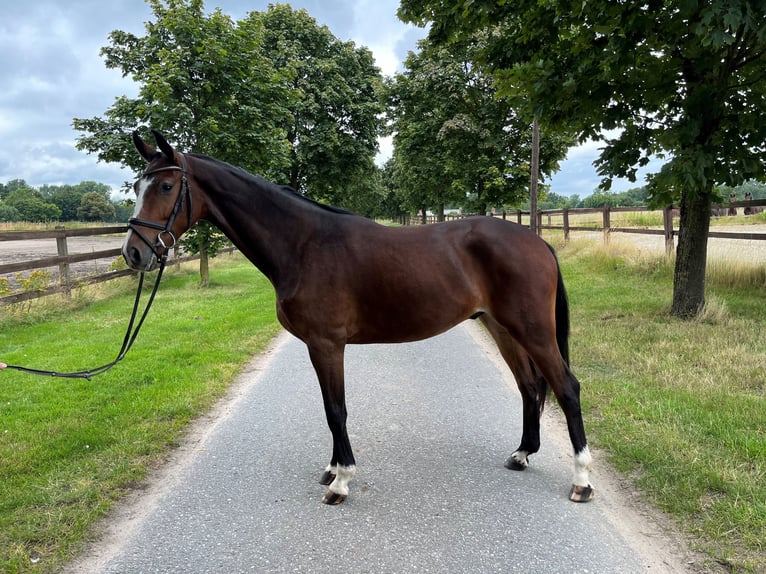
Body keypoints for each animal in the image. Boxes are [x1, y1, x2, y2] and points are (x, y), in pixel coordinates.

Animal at [123, 129, 596, 504]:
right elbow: (330, 408)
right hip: (501, 327)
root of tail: (536, 240)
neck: (303, 245)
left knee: (566, 388)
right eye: (136, 186)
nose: (134, 253)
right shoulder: (320, 347)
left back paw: (581, 480)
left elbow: (337, 409)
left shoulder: (326, 344)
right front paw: (333, 469)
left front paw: (341, 482)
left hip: (532, 330)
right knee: (530, 387)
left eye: (165, 186)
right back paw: (522, 454)